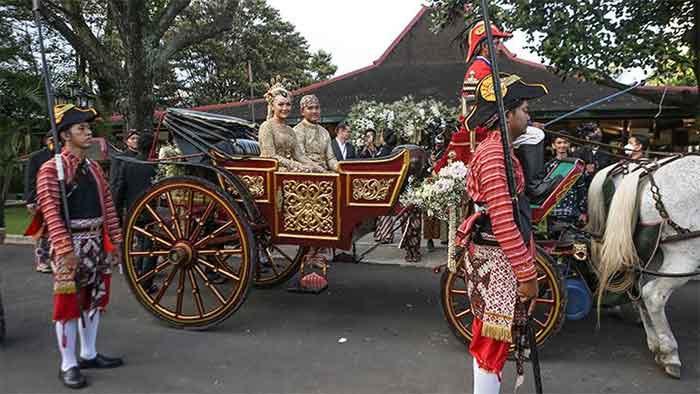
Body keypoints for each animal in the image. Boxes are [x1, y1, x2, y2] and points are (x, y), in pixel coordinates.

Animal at [588, 154, 696, 378]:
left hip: (644, 251)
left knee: (638, 292)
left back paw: (655, 343)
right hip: (685, 254)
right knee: (652, 295)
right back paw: (669, 353)